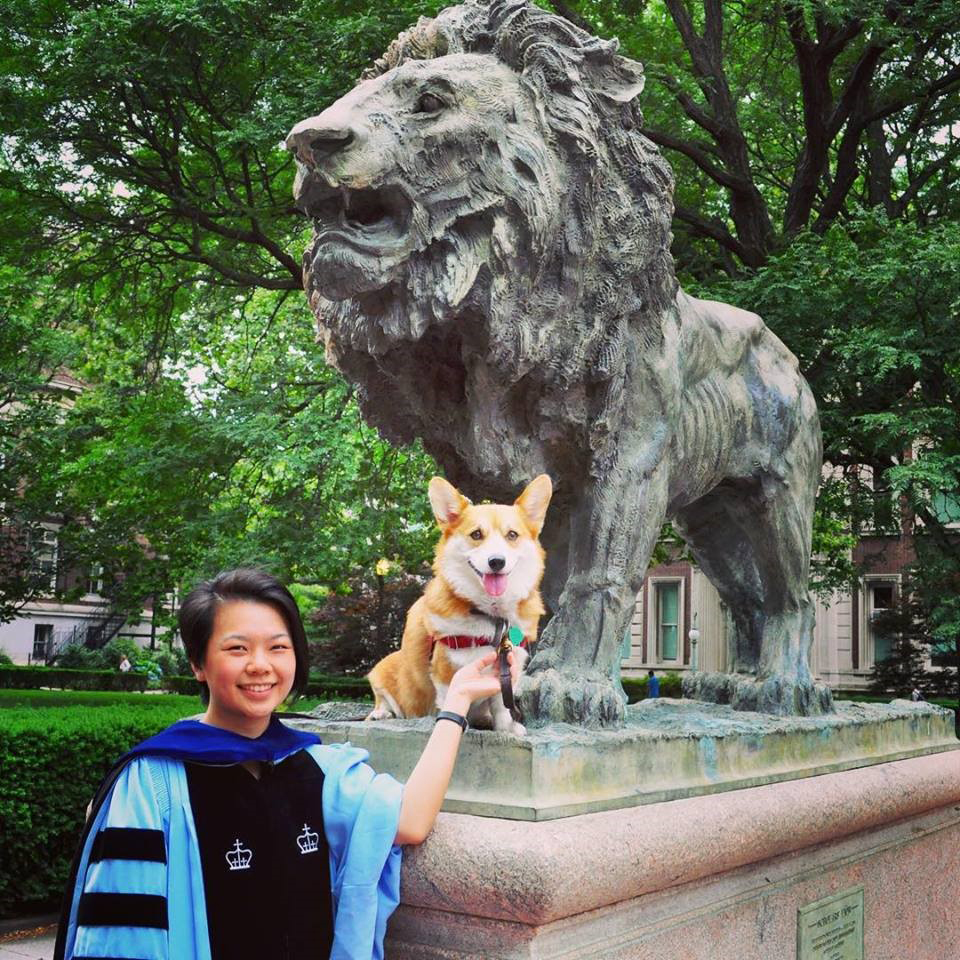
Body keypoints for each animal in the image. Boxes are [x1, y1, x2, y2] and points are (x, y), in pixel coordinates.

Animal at [366, 472, 552, 736]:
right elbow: (450, 698)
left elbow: (501, 705)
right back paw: (380, 713)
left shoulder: (506, 671)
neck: (491, 616)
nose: (497, 561)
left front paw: (506, 729)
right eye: (476, 534)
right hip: (383, 669)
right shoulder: (446, 671)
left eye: (512, 535)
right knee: (383, 700)